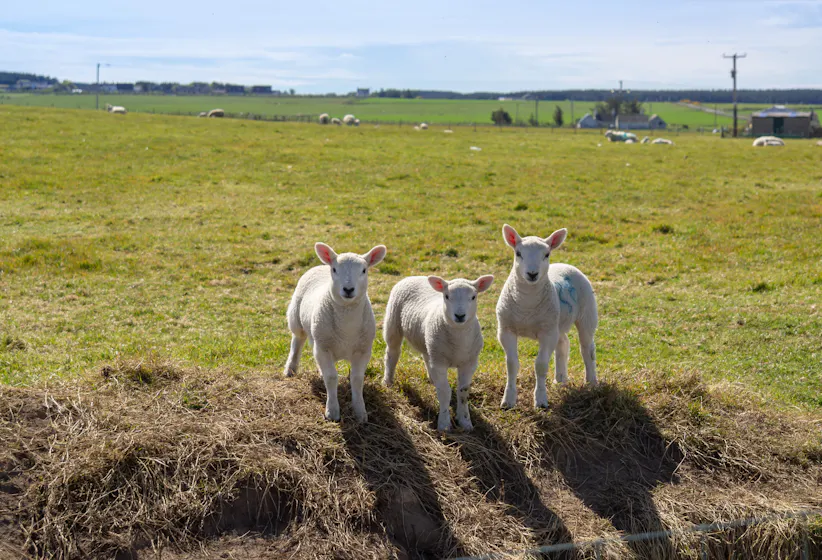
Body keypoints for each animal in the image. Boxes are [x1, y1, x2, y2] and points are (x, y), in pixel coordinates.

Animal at [284, 243, 387, 423]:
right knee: (297, 341)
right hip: (296, 318)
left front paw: (360, 412)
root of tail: (320, 265)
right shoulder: (324, 348)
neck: (347, 326)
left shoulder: (363, 350)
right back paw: (290, 369)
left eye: (364, 270)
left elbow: (357, 379)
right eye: (335, 269)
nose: (348, 289)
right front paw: (332, 411)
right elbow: (331, 378)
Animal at [383, 275, 494, 431]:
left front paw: (465, 421)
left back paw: (431, 378)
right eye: (447, 296)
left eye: (473, 297)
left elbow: (463, 392)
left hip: (429, 342)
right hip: (393, 322)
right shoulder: (440, 363)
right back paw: (388, 381)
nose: (460, 315)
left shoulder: (469, 363)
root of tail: (415, 275)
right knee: (392, 354)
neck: (458, 337)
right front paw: (444, 424)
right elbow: (444, 392)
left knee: (426, 356)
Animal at [496, 224, 598, 409]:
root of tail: (565, 265)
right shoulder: (506, 330)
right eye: (518, 253)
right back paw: (560, 379)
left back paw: (591, 382)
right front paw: (508, 400)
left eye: (546, 254)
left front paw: (541, 400)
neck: (527, 305)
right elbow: (512, 364)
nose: (532, 274)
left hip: (587, 314)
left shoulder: (547, 333)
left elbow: (541, 365)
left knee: (587, 349)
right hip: (556, 322)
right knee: (563, 343)